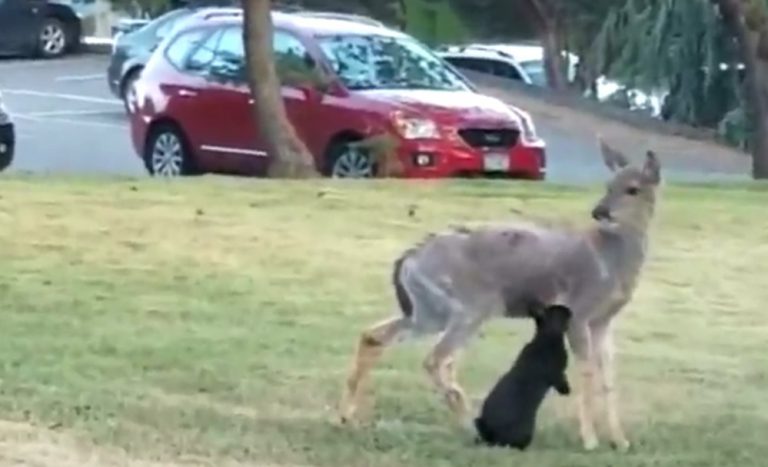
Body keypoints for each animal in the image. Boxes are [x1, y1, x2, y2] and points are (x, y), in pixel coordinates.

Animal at [336, 140, 660, 454]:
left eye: (632, 189)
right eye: (608, 184)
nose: (600, 212)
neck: (611, 262)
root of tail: (408, 259)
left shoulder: (604, 320)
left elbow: (609, 377)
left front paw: (620, 441)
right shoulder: (580, 310)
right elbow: (588, 372)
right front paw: (590, 440)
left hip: (427, 311)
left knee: (374, 335)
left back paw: (346, 416)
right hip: (470, 307)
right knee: (434, 359)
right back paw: (470, 424)